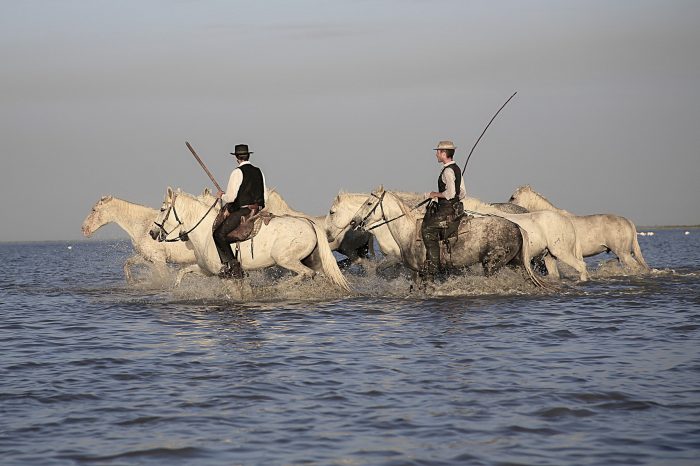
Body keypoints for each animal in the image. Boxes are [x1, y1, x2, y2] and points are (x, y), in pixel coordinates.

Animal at [151, 187, 352, 292]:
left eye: (162, 209)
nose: (152, 233)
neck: (205, 232)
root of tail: (309, 223)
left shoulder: (227, 275)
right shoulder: (207, 270)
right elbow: (183, 272)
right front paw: (176, 288)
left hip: (286, 260)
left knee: (306, 274)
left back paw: (277, 289)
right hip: (314, 260)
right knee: (322, 275)